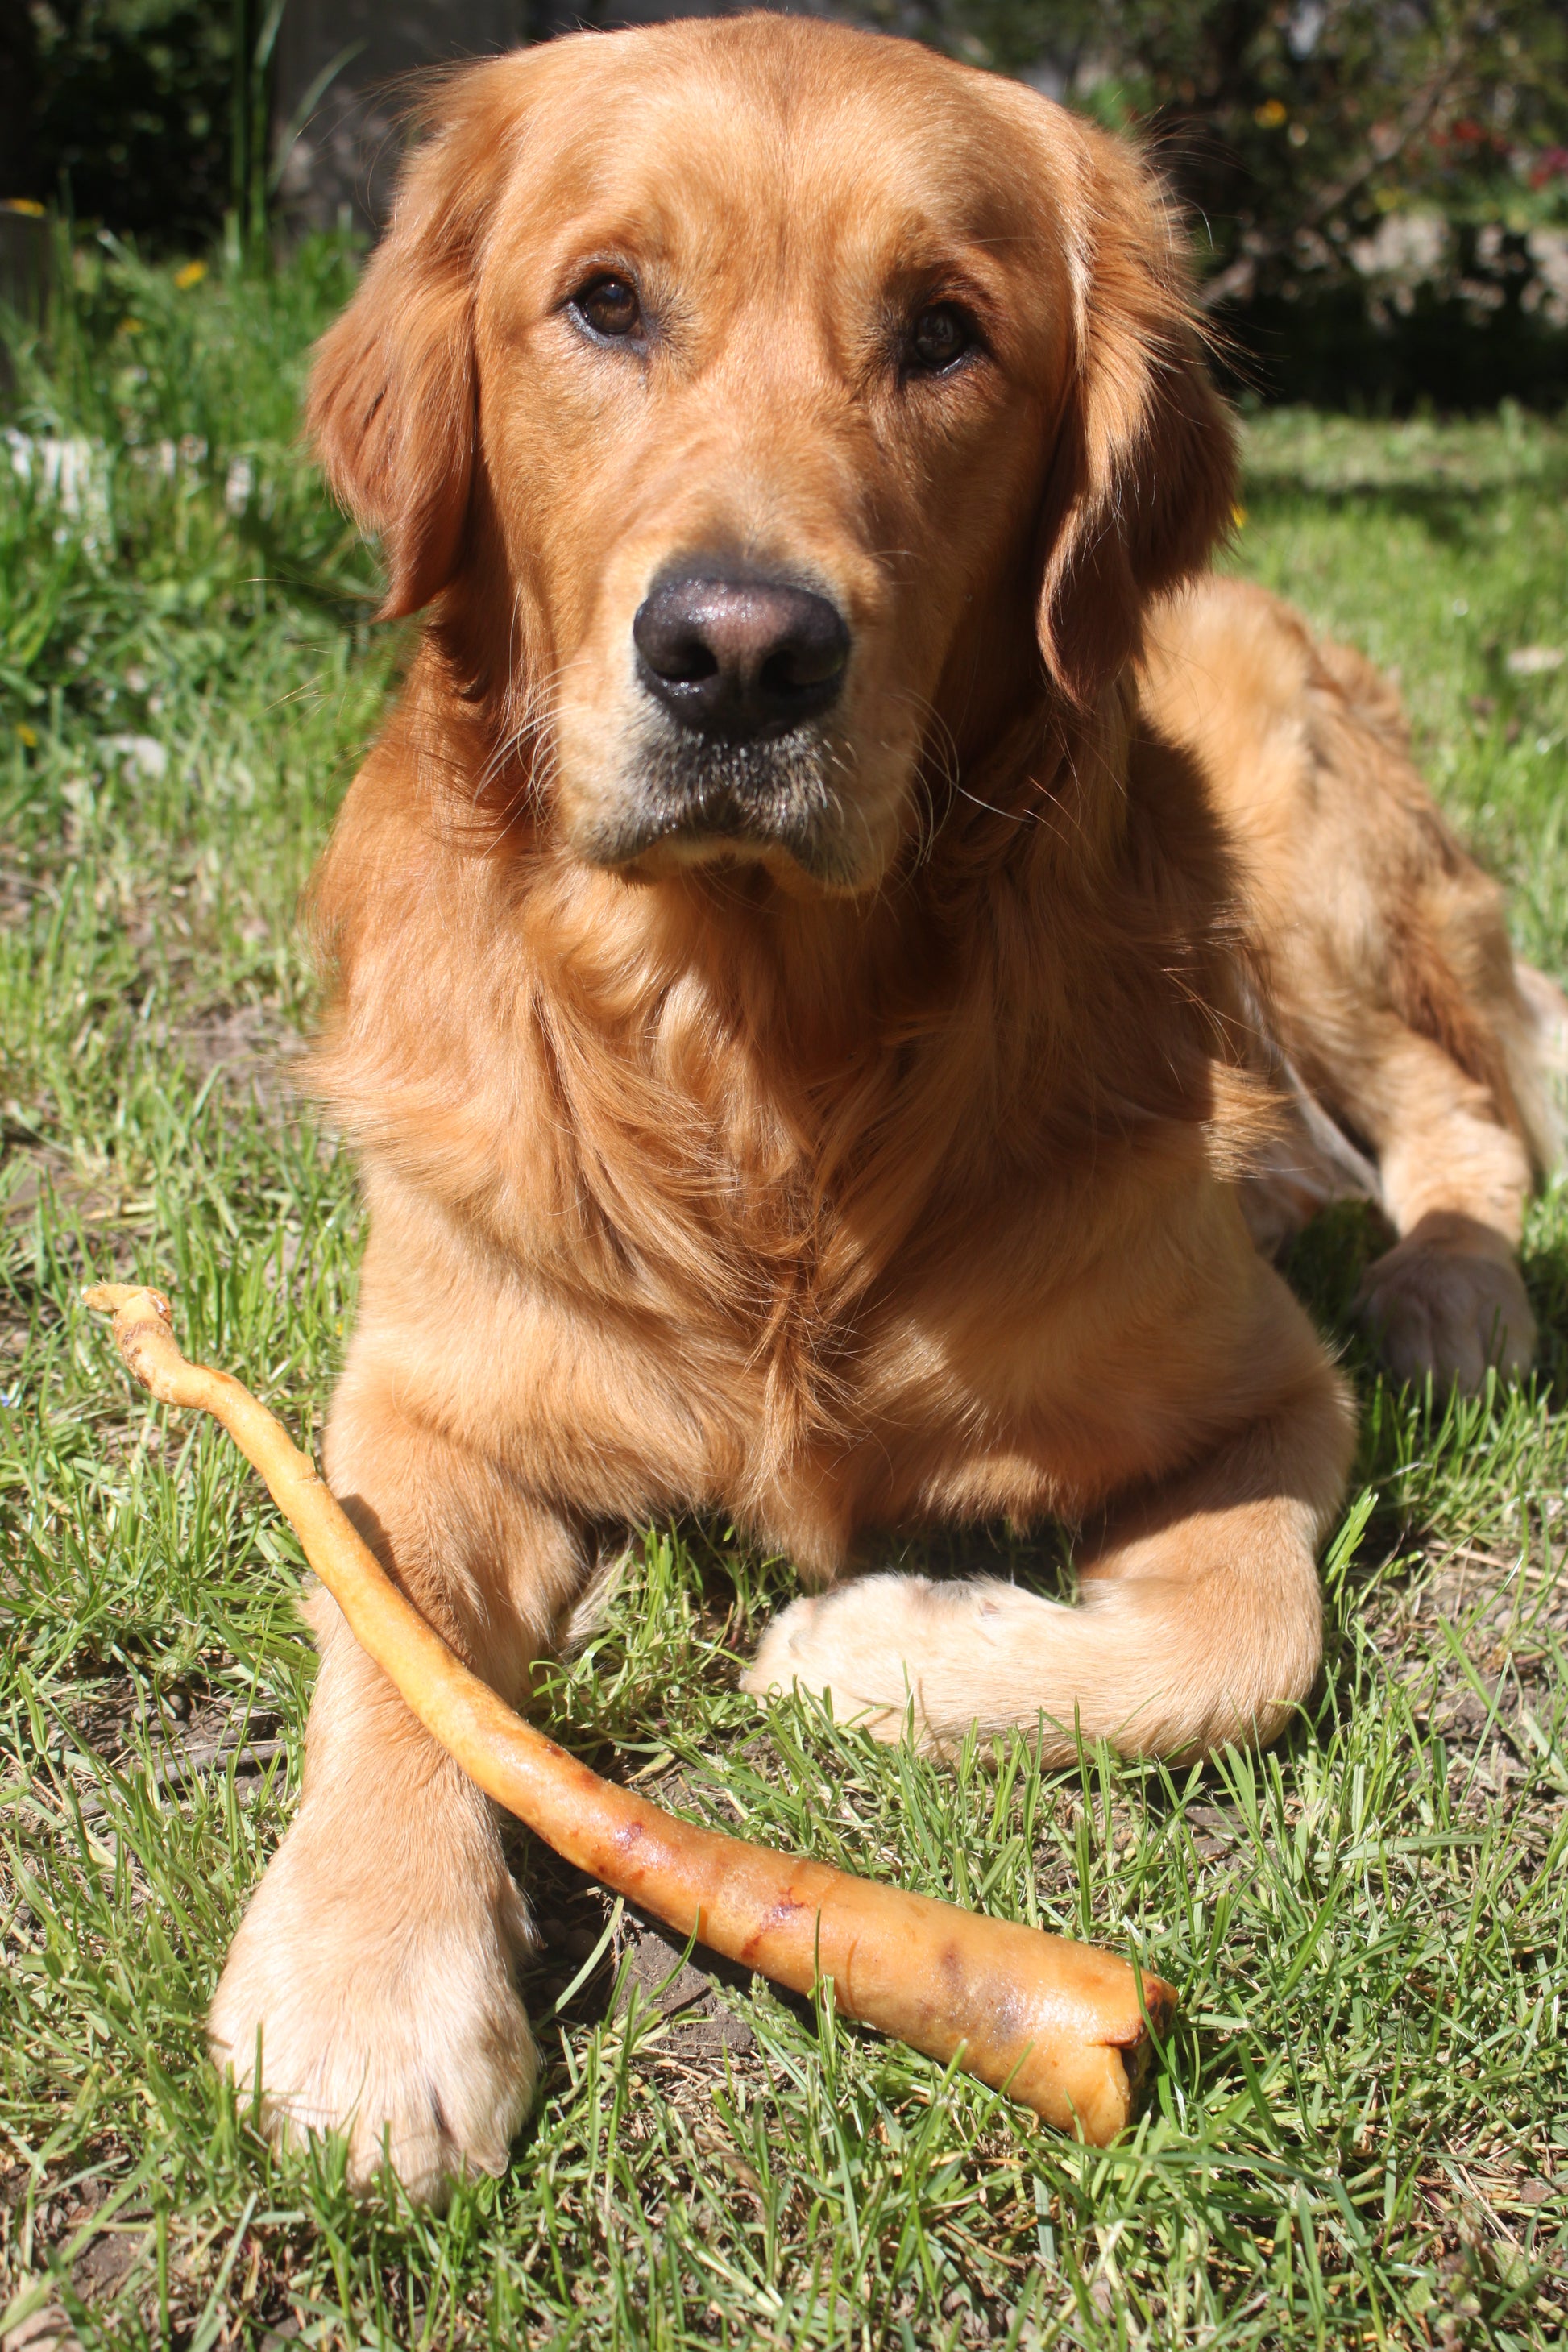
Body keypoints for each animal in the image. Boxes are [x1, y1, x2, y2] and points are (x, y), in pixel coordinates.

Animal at [205, 18, 1561, 2192]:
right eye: (605, 302)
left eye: (944, 333)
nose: (741, 656)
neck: (757, 1073)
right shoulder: (424, 1394)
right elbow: (385, 1630)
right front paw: (362, 1986)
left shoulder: (1266, 1390)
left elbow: (1235, 1643)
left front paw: (871, 1644)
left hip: (1307, 856)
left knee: (1465, 1112)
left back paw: (1452, 1292)